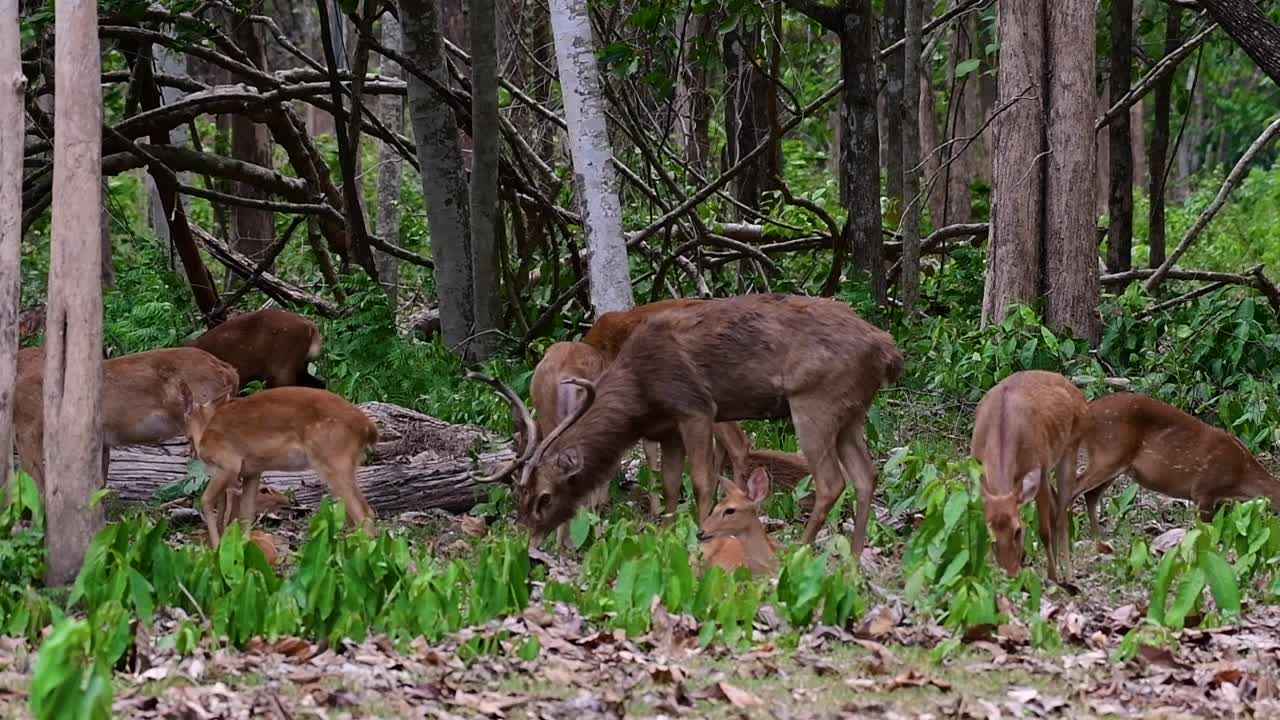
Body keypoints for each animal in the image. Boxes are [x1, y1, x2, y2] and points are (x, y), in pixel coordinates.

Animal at [174, 383, 379, 547]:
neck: (204, 432)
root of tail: (368, 428)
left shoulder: (228, 464)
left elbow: (207, 501)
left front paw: (217, 548)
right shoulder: (252, 471)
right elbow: (247, 513)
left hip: (333, 460)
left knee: (363, 514)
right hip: (346, 464)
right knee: (360, 514)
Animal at [474, 293, 903, 559]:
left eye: (544, 497)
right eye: (518, 494)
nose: (529, 542)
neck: (641, 395)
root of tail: (888, 350)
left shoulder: (696, 407)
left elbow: (701, 480)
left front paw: (702, 537)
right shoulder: (667, 429)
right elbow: (668, 485)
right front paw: (667, 535)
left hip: (815, 400)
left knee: (831, 479)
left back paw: (799, 546)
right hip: (851, 412)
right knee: (866, 475)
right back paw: (854, 555)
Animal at [970, 370, 1089, 584]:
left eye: (1018, 531)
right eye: (991, 536)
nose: (1011, 574)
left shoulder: (1038, 469)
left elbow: (1043, 531)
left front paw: (1053, 577)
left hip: (1070, 446)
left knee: (1062, 512)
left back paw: (1067, 576)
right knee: (1056, 505)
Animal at [1072, 393, 1280, 543]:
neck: (1240, 476)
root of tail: (1087, 411)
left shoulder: (1221, 500)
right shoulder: (1204, 488)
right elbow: (1206, 529)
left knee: (1089, 493)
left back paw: (1098, 536)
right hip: (1109, 452)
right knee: (1074, 487)